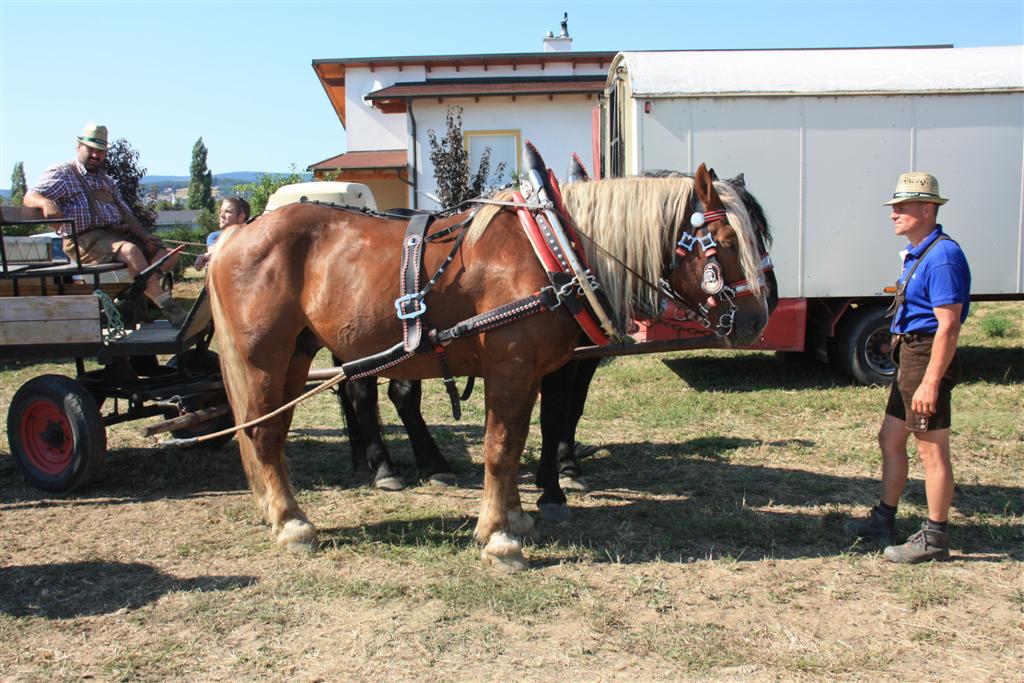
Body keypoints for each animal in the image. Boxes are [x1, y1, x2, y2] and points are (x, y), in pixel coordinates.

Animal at [207, 162, 770, 569]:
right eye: (725, 243)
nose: (757, 320)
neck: (553, 251)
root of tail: (235, 239)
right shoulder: (511, 367)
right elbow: (500, 448)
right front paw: (500, 539)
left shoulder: (534, 373)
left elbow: (520, 440)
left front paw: (517, 516)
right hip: (264, 360)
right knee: (263, 435)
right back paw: (293, 523)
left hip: (297, 357)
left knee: (275, 430)